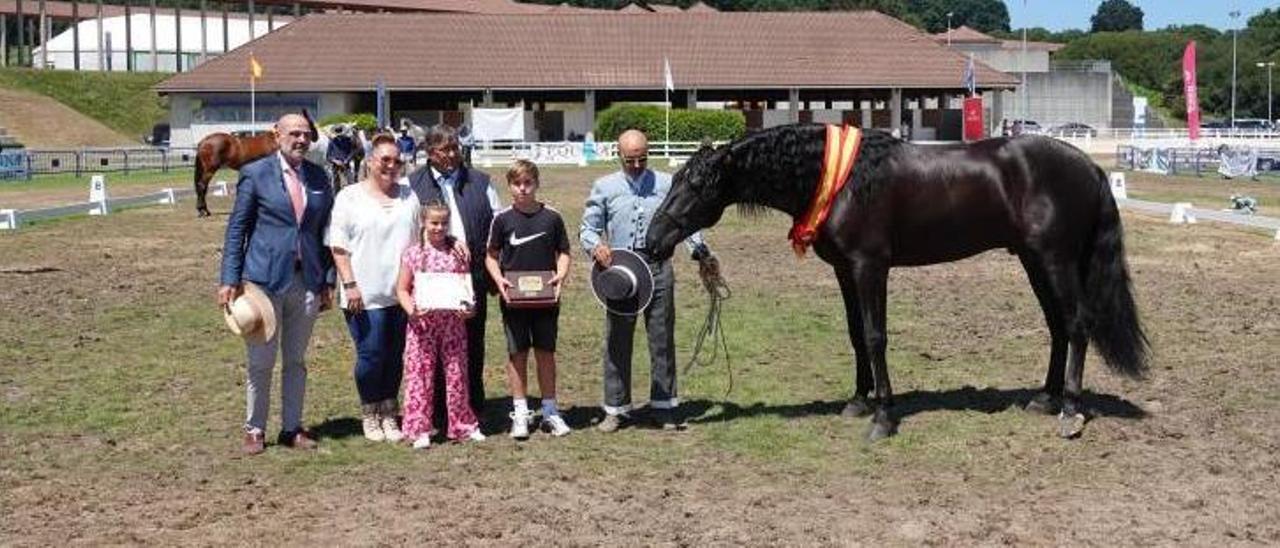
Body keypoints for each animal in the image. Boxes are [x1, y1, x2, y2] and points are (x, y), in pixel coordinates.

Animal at [650, 124, 1152, 440]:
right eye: (677, 180)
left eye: (697, 185)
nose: (653, 240)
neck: (844, 181)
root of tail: (1090, 168)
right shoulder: (844, 270)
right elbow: (855, 335)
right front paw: (858, 401)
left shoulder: (871, 266)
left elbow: (876, 337)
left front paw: (883, 417)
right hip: (1033, 261)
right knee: (1057, 327)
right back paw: (1045, 399)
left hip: (1056, 260)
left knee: (1078, 325)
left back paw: (1069, 410)